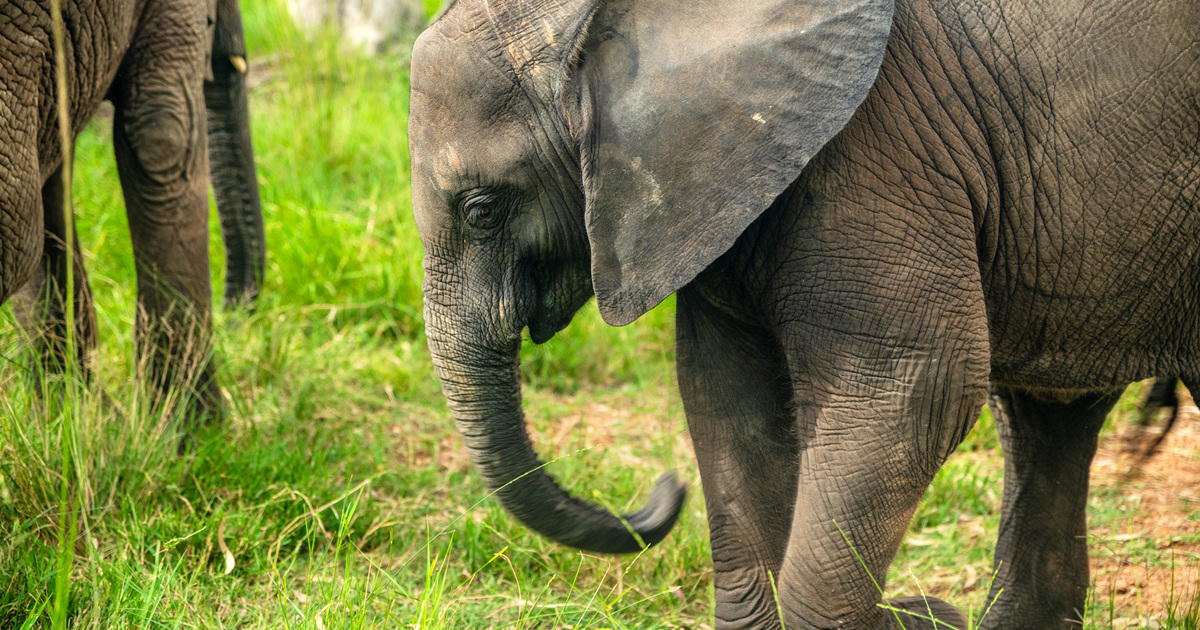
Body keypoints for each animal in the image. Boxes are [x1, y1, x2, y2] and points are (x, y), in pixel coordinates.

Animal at [407, 0, 1199, 628]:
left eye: (482, 211)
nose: (662, 493)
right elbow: (728, 403)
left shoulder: (880, 148)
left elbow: (912, 387)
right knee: (1047, 418)